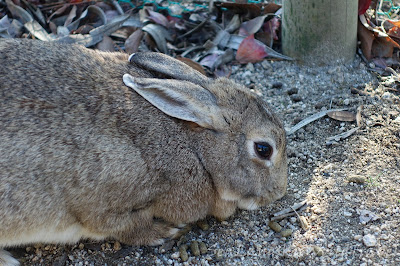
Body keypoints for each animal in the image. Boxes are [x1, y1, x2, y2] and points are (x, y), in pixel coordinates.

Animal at [0, 38, 288, 264]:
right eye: (264, 149)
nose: (279, 191)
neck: (197, 151)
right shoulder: (107, 198)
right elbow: (122, 227)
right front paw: (165, 231)